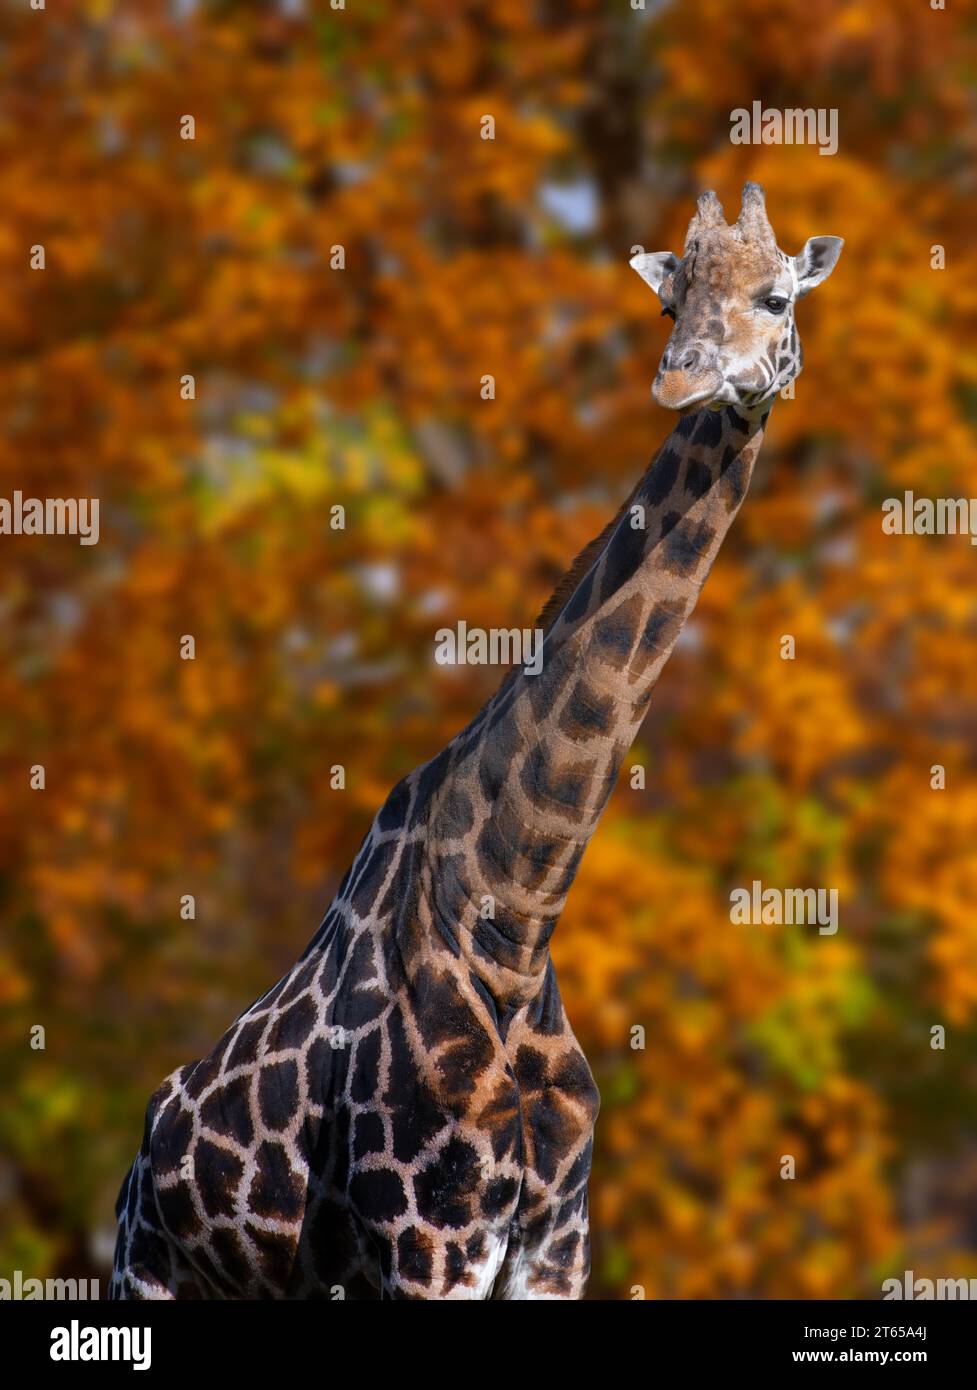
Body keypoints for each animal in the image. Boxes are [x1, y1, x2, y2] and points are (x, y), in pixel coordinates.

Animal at [109, 183, 842, 1301]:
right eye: (668, 305)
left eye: (775, 295)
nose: (680, 378)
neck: (516, 920)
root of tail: (132, 1175)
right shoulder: (430, 1237)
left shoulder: (552, 1244)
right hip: (150, 1277)